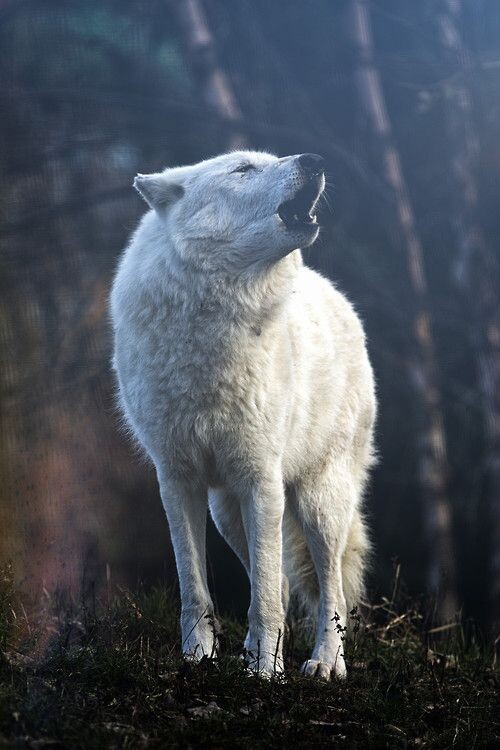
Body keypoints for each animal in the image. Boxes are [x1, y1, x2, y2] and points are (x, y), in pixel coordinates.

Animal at [109, 151, 376, 680]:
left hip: (317, 503)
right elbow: (196, 588)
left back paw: (324, 664)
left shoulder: (261, 478)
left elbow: (266, 598)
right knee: (279, 580)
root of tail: (336, 296)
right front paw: (199, 658)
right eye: (243, 170)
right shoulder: (178, 480)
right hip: (228, 512)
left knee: (329, 590)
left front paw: (264, 675)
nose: (315, 159)